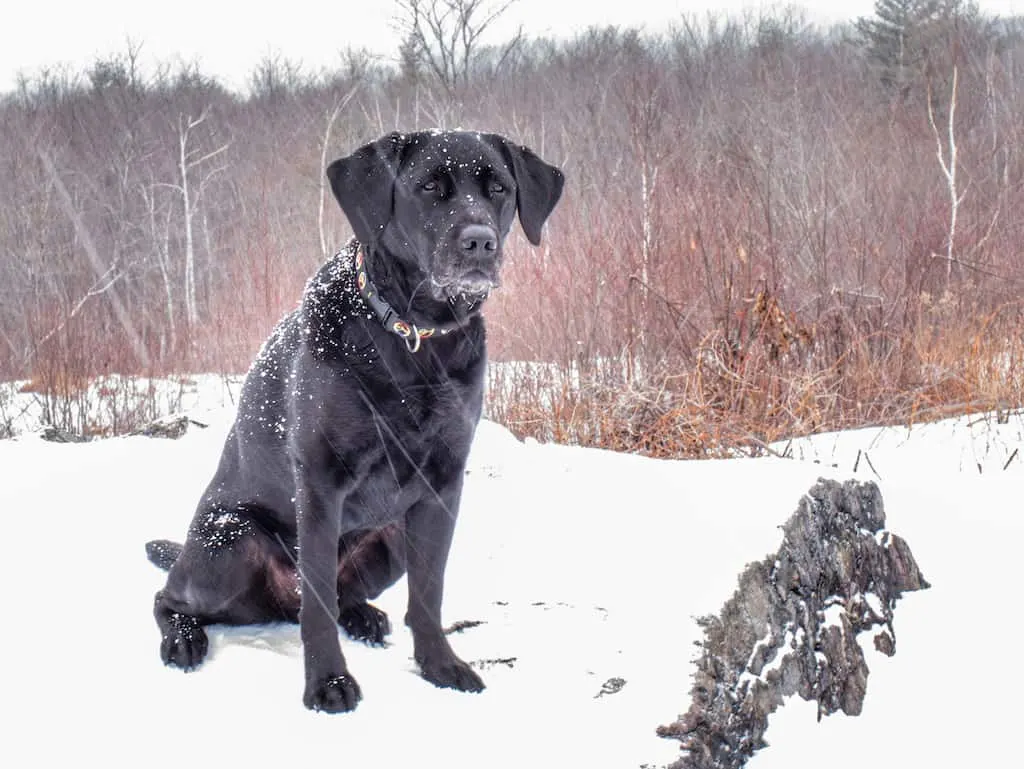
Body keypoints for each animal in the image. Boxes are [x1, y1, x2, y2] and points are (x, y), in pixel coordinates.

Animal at [144, 129, 565, 712]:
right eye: (429, 186)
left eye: (498, 188)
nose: (479, 242)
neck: (414, 336)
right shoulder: (322, 484)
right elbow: (317, 606)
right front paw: (328, 683)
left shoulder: (443, 487)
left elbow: (428, 595)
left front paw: (440, 666)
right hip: (229, 542)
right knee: (171, 598)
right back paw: (183, 638)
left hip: (390, 541)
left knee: (343, 595)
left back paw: (365, 616)